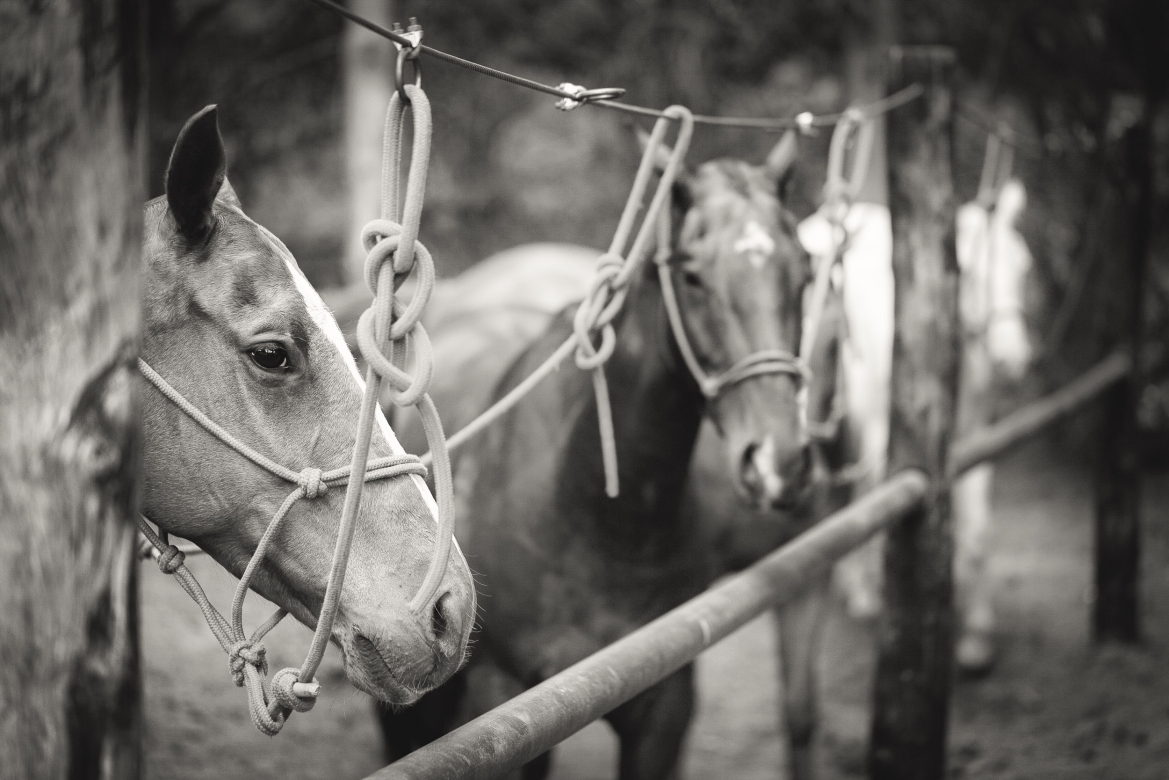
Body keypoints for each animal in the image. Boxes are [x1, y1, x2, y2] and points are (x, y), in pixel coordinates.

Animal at [378, 130, 818, 776]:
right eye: (692, 276)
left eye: (805, 271)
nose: (780, 461)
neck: (597, 515)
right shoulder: (501, 701)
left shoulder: (664, 700)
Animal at [799, 178, 1038, 678]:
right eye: (971, 273)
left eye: (1024, 266)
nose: (1012, 360)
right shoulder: (880, 438)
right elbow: (875, 507)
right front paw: (872, 599)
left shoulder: (970, 436)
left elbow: (978, 533)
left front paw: (975, 639)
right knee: (853, 495)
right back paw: (859, 589)